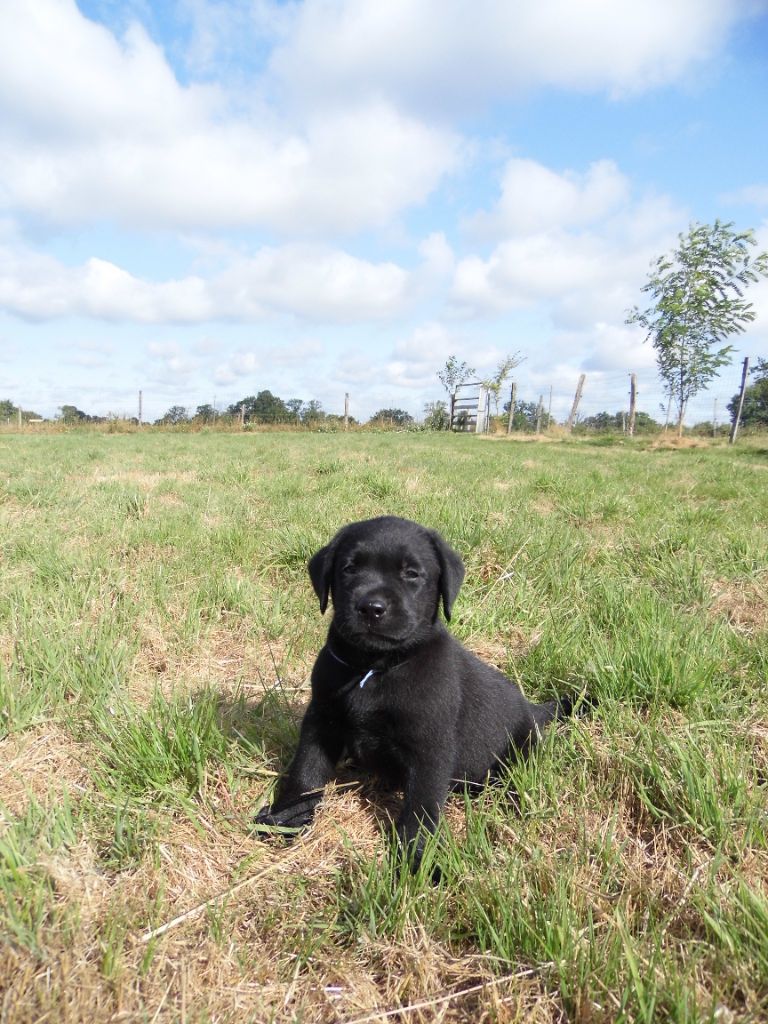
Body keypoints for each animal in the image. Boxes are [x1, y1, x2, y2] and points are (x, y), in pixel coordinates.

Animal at [255, 516, 578, 867]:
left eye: (411, 573)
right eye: (349, 568)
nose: (371, 607)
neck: (375, 666)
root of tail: (532, 708)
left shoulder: (430, 746)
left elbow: (421, 806)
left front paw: (417, 857)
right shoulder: (321, 719)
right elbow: (306, 772)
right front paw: (285, 820)